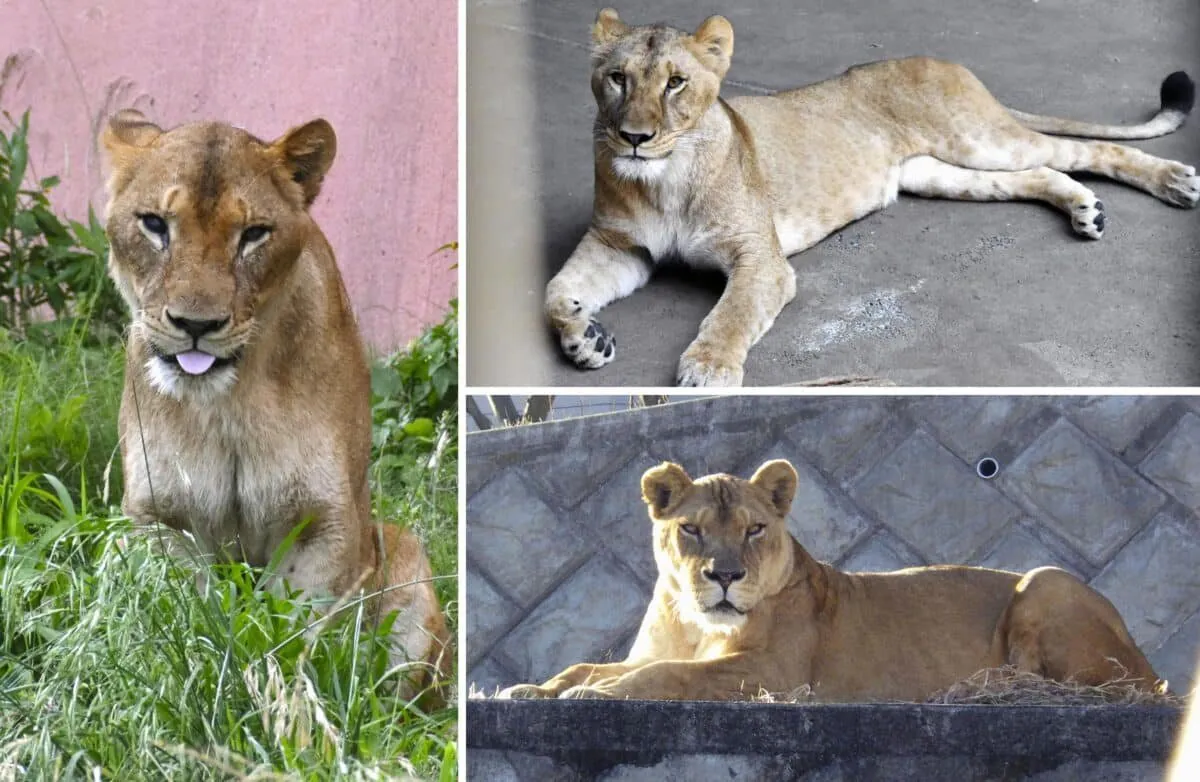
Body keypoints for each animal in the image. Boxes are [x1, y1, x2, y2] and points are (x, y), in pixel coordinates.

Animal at [102, 110, 451, 704]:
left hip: (401, 551)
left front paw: (287, 696)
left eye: (253, 234)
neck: (229, 404)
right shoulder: (160, 519)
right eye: (154, 224)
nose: (196, 325)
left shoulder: (325, 523)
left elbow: (298, 634)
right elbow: (184, 617)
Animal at [497, 459, 1161, 702]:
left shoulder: (775, 674)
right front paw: (534, 689)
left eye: (755, 529)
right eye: (690, 529)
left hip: (1046, 580)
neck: (695, 622)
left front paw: (592, 696)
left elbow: (668, 676)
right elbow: (591, 665)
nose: (724, 576)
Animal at [544, 9, 1199, 387]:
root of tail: (943, 60)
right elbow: (555, 292)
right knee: (1040, 172)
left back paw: (1174, 182)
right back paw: (1086, 208)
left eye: (676, 83)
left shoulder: (761, 258)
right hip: (941, 173)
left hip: (981, 139)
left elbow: (732, 314)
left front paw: (709, 370)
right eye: (618, 79)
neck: (665, 179)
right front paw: (586, 338)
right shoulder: (620, 246)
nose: (634, 137)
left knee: (1085, 149)